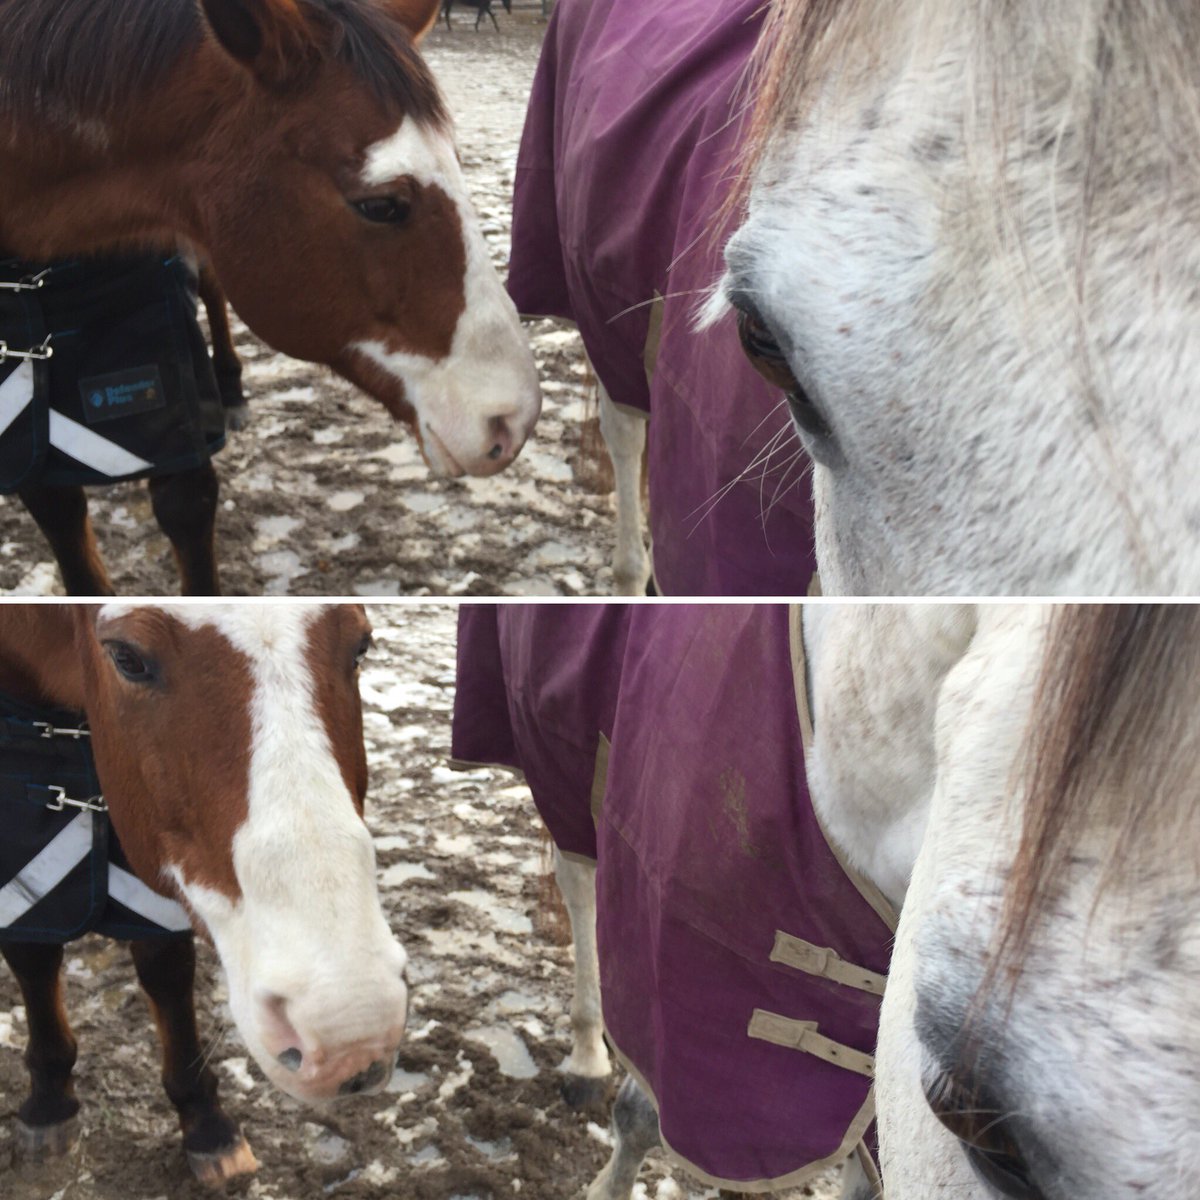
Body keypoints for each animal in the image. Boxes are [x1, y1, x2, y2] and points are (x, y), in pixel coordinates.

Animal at [0, 603, 409, 1184]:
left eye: (361, 646)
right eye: (126, 658)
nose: (352, 1031)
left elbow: (166, 971)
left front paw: (205, 1124)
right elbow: (33, 954)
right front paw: (49, 1103)